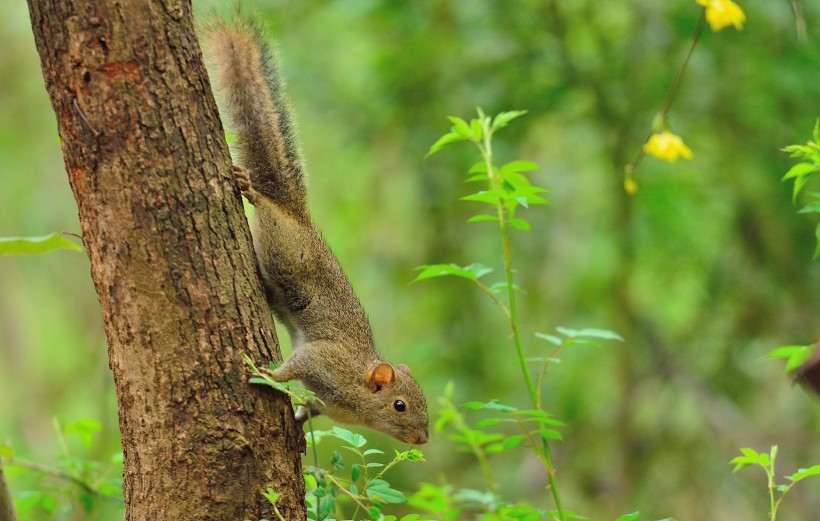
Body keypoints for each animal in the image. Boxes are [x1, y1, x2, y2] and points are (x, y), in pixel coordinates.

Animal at [205, 19, 430, 442]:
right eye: (400, 405)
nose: (423, 438)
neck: (357, 392)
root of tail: (299, 217)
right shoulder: (324, 360)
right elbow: (295, 366)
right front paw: (269, 374)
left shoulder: (327, 402)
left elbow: (311, 408)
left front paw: (298, 423)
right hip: (284, 247)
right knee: (267, 209)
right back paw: (251, 190)